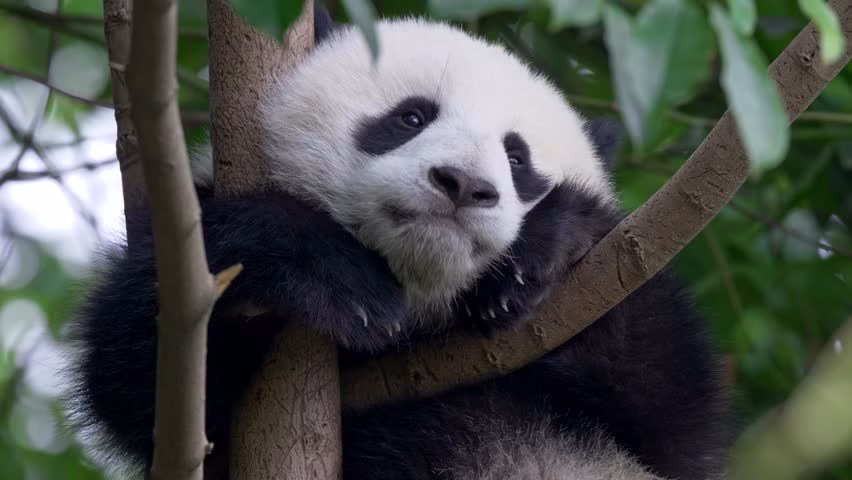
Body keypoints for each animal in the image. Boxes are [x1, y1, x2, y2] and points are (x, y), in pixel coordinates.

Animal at [65, 4, 732, 480]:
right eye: (411, 117)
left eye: (518, 159)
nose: (463, 185)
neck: (419, 311)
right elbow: (139, 373)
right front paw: (337, 279)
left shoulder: (653, 431)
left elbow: (671, 411)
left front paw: (544, 253)